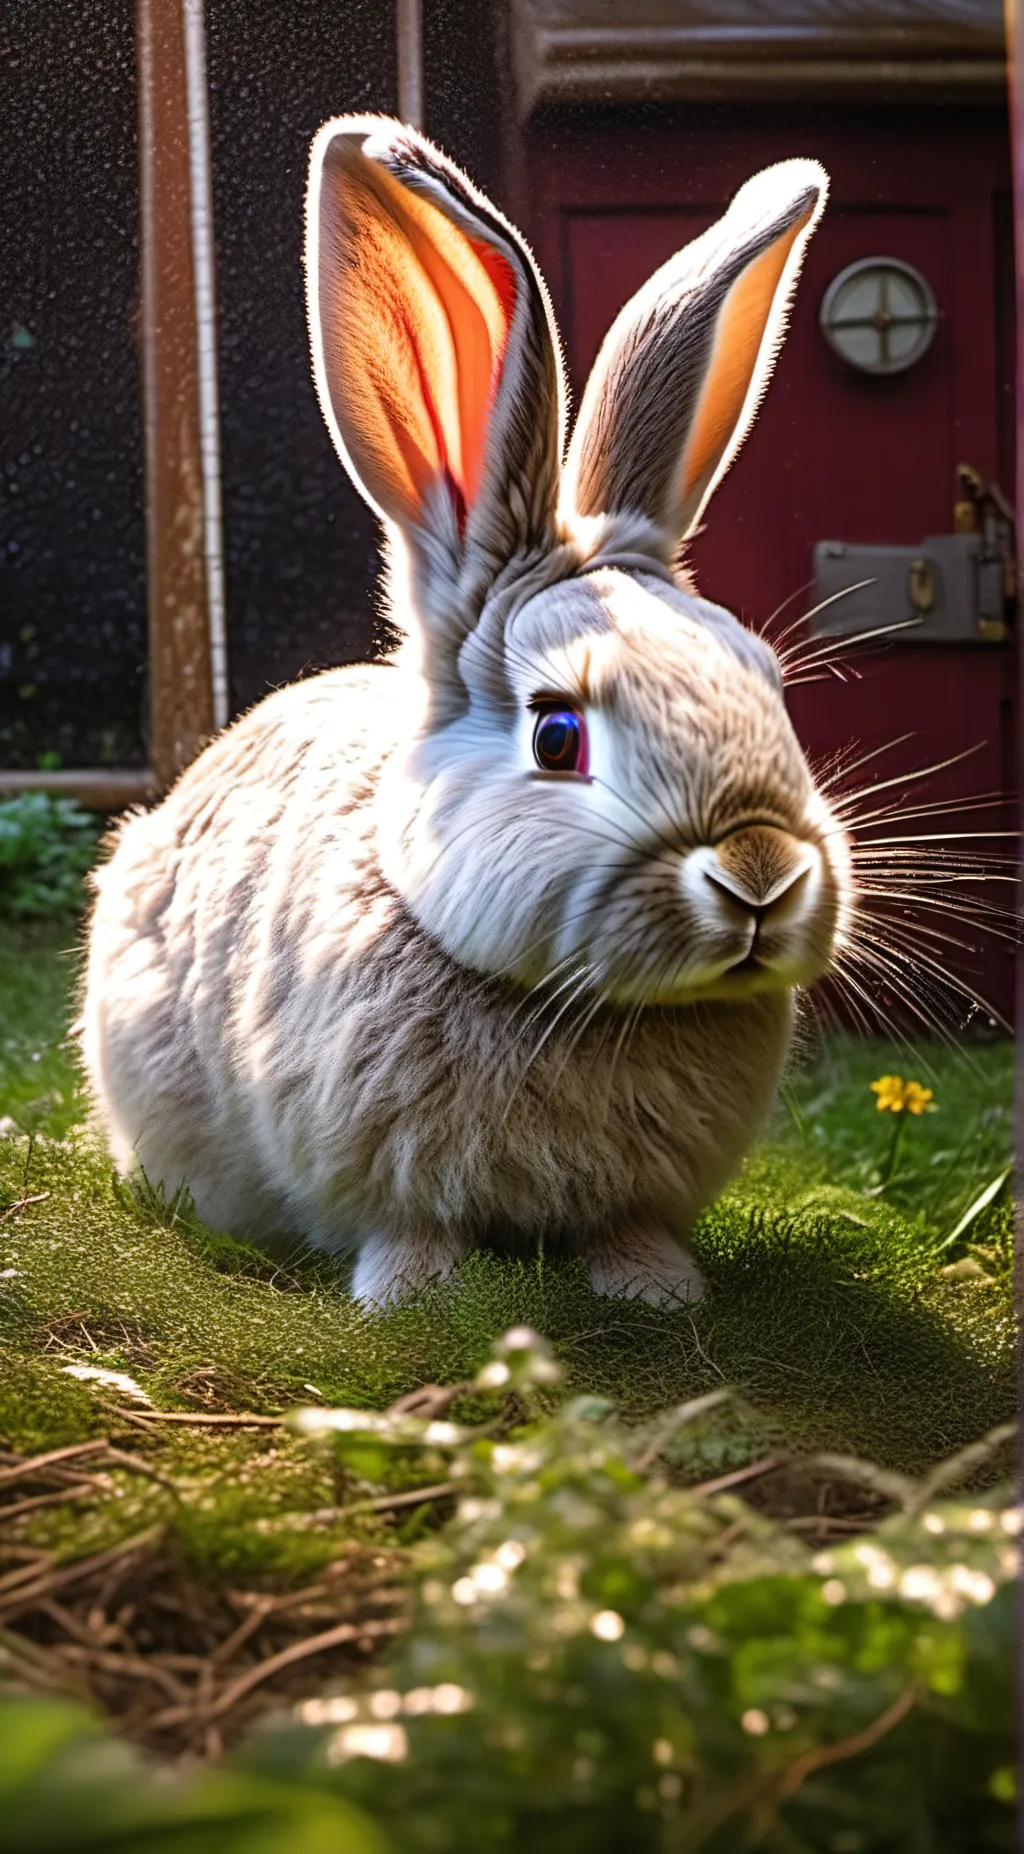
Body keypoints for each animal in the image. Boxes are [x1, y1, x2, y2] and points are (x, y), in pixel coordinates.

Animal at [81, 115, 851, 1309]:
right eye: (557, 734)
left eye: (769, 686)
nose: (760, 873)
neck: (576, 1005)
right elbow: (404, 1230)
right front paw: (414, 1293)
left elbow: (625, 1229)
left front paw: (654, 1288)